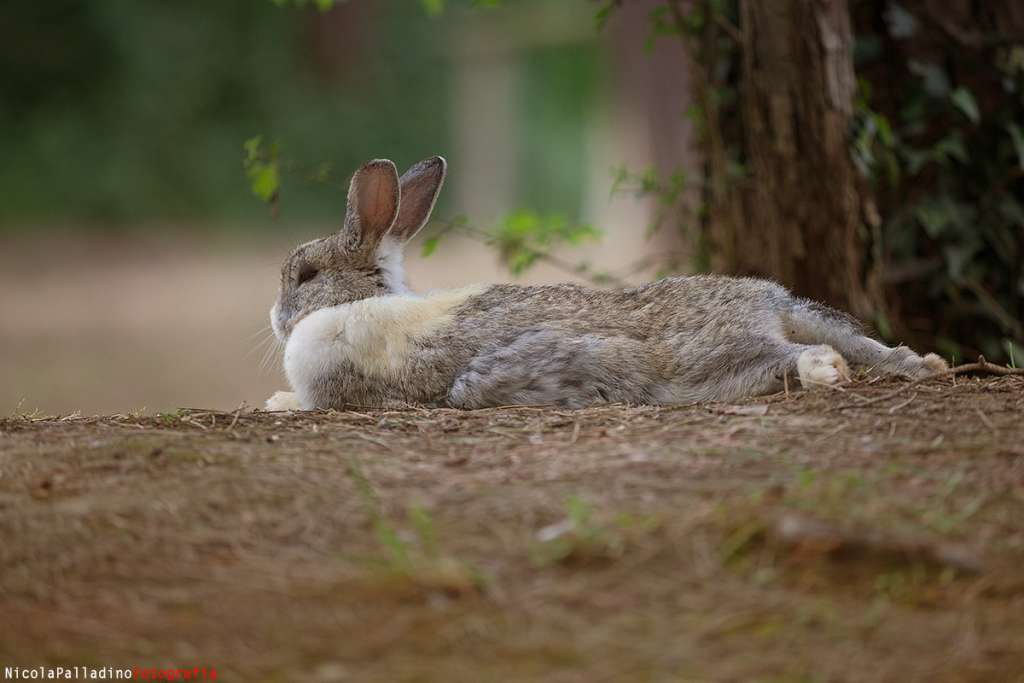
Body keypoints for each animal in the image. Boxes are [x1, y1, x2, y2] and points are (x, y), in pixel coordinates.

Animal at [262, 156, 942, 411]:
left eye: (305, 275)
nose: (275, 318)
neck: (362, 302)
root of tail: (768, 303)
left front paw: (278, 403)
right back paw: (925, 365)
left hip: (709, 360)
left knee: (803, 355)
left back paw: (826, 372)